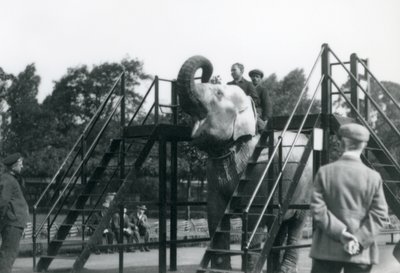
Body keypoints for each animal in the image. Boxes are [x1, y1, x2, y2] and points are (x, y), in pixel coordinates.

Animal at [177, 55, 314, 272]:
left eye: (218, 93)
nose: (205, 76)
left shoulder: (259, 170)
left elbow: (254, 217)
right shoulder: (212, 173)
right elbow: (215, 214)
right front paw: (221, 269)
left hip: (305, 186)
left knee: (296, 223)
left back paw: (285, 269)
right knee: (279, 225)